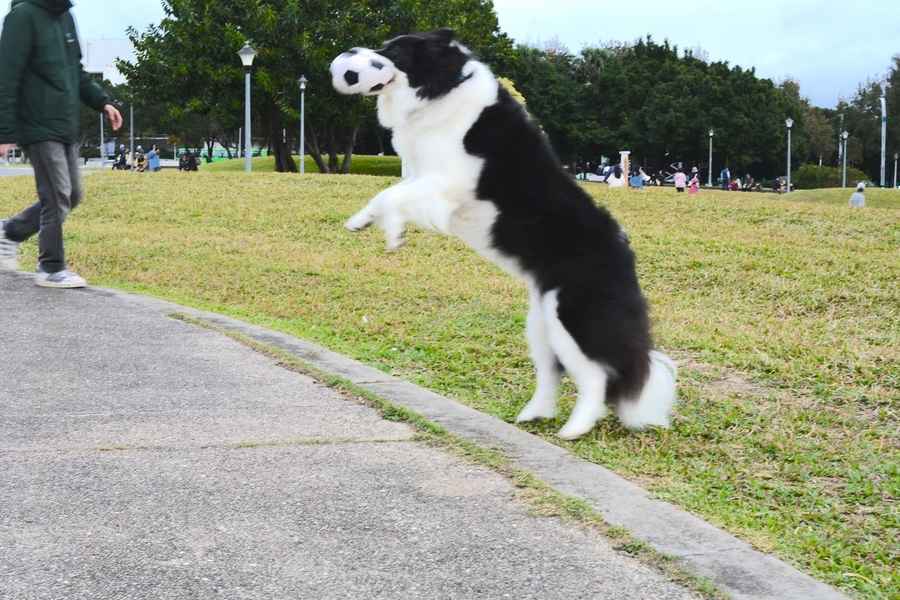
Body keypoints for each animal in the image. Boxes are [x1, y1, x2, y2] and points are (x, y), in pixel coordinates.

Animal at [330, 29, 676, 440]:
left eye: (393, 51)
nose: (350, 54)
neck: (444, 87)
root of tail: (624, 252)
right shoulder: (422, 176)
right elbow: (386, 195)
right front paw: (363, 222)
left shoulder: (449, 181)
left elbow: (392, 195)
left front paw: (393, 232)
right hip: (540, 324)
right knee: (552, 373)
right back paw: (533, 415)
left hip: (570, 319)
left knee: (596, 376)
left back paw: (574, 429)